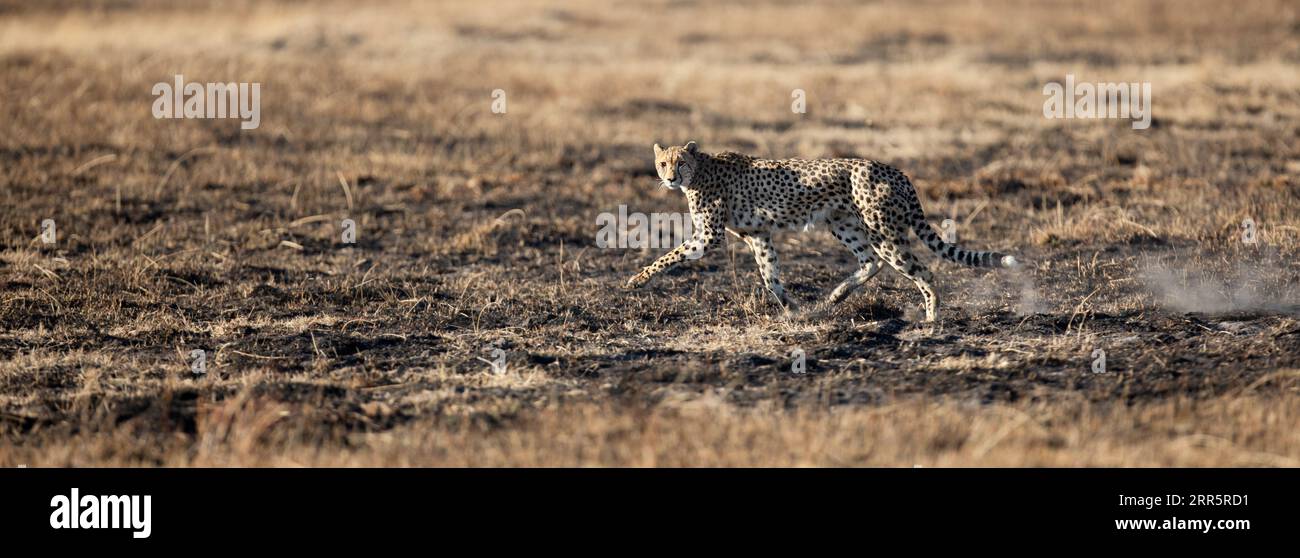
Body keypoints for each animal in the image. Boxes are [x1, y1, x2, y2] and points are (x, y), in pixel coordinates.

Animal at [624, 140, 1019, 321]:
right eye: (663, 163)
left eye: (680, 162)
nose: (670, 178)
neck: (701, 170)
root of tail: (894, 169)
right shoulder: (758, 236)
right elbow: (771, 276)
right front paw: (794, 309)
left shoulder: (708, 237)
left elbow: (669, 256)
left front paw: (637, 279)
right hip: (843, 224)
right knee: (871, 262)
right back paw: (835, 296)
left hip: (882, 230)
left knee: (922, 270)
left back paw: (932, 317)